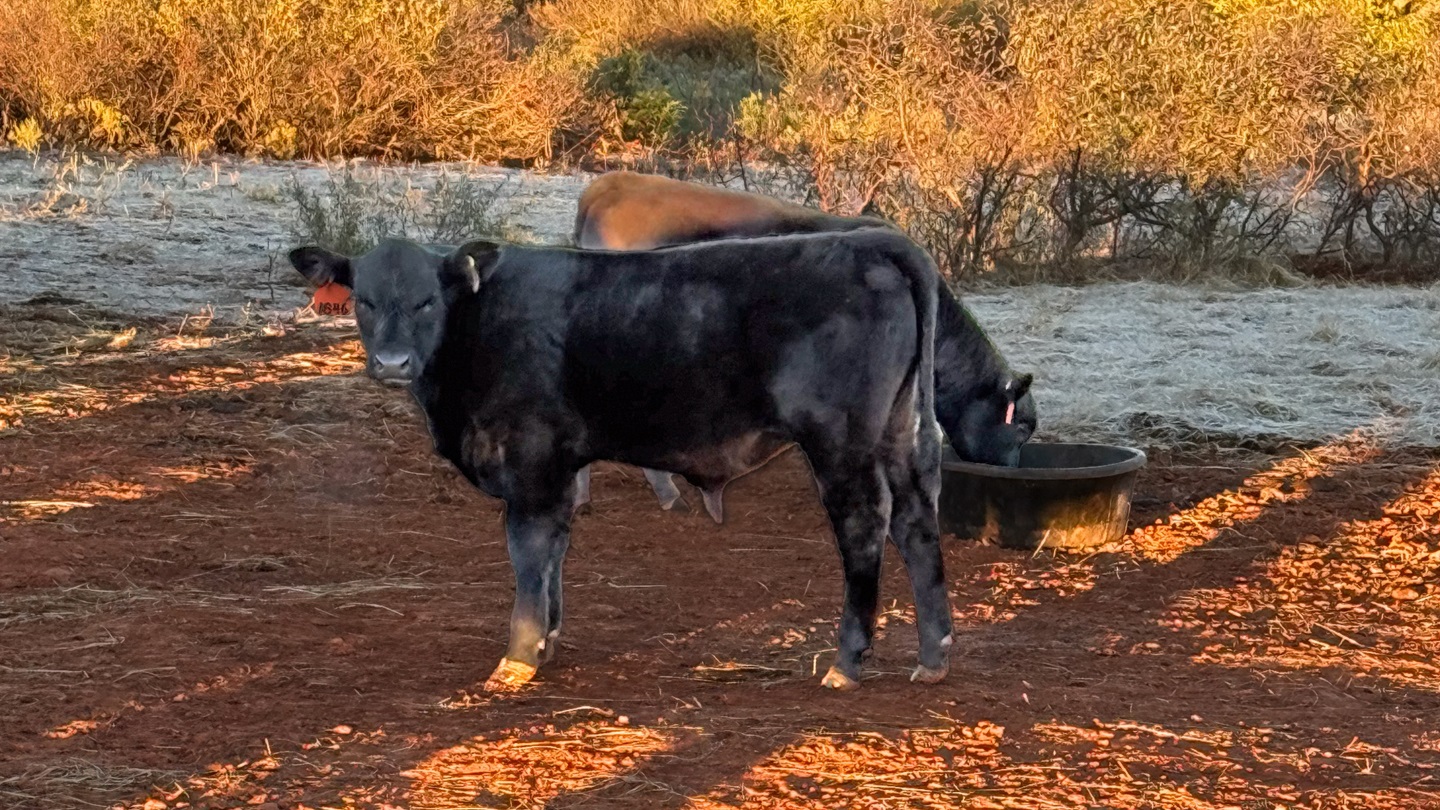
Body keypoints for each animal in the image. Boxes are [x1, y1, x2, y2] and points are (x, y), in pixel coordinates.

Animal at [288, 230, 954, 692]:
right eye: (364, 300)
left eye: (428, 301)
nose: (391, 363)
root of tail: (867, 241)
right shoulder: (558, 469)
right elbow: (553, 553)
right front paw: (548, 640)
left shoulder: (533, 462)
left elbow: (528, 551)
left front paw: (517, 656)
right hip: (899, 434)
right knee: (916, 523)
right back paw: (933, 656)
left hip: (840, 442)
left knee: (865, 528)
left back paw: (847, 661)